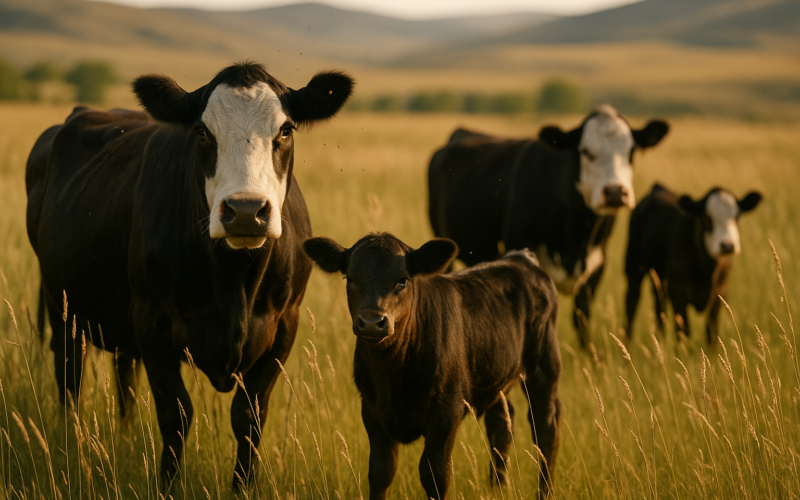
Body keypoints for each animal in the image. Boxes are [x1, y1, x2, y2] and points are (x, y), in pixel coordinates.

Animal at [25, 62, 354, 486]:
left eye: (285, 130)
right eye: (201, 131)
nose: (245, 210)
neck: (235, 283)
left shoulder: (285, 325)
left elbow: (249, 418)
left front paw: (242, 488)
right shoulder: (151, 321)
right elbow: (175, 415)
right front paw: (167, 485)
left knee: (124, 376)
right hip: (63, 308)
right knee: (70, 381)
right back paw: (71, 447)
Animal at [303, 232, 562, 500]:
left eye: (403, 280)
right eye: (350, 278)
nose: (372, 322)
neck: (392, 376)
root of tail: (521, 258)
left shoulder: (446, 412)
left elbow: (435, 474)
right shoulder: (372, 410)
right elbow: (381, 471)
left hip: (544, 365)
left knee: (545, 428)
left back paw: (545, 492)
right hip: (499, 376)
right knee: (502, 421)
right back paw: (497, 488)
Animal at [428, 104, 669, 347]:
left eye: (631, 151)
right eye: (585, 151)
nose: (615, 192)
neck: (576, 238)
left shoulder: (597, 262)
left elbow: (582, 317)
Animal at [625, 183, 762, 343]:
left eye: (737, 217)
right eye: (707, 218)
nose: (727, 245)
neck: (706, 272)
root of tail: (658, 187)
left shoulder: (720, 294)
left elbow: (711, 333)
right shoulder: (677, 292)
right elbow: (684, 332)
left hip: (658, 279)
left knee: (659, 308)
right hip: (633, 267)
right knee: (631, 304)